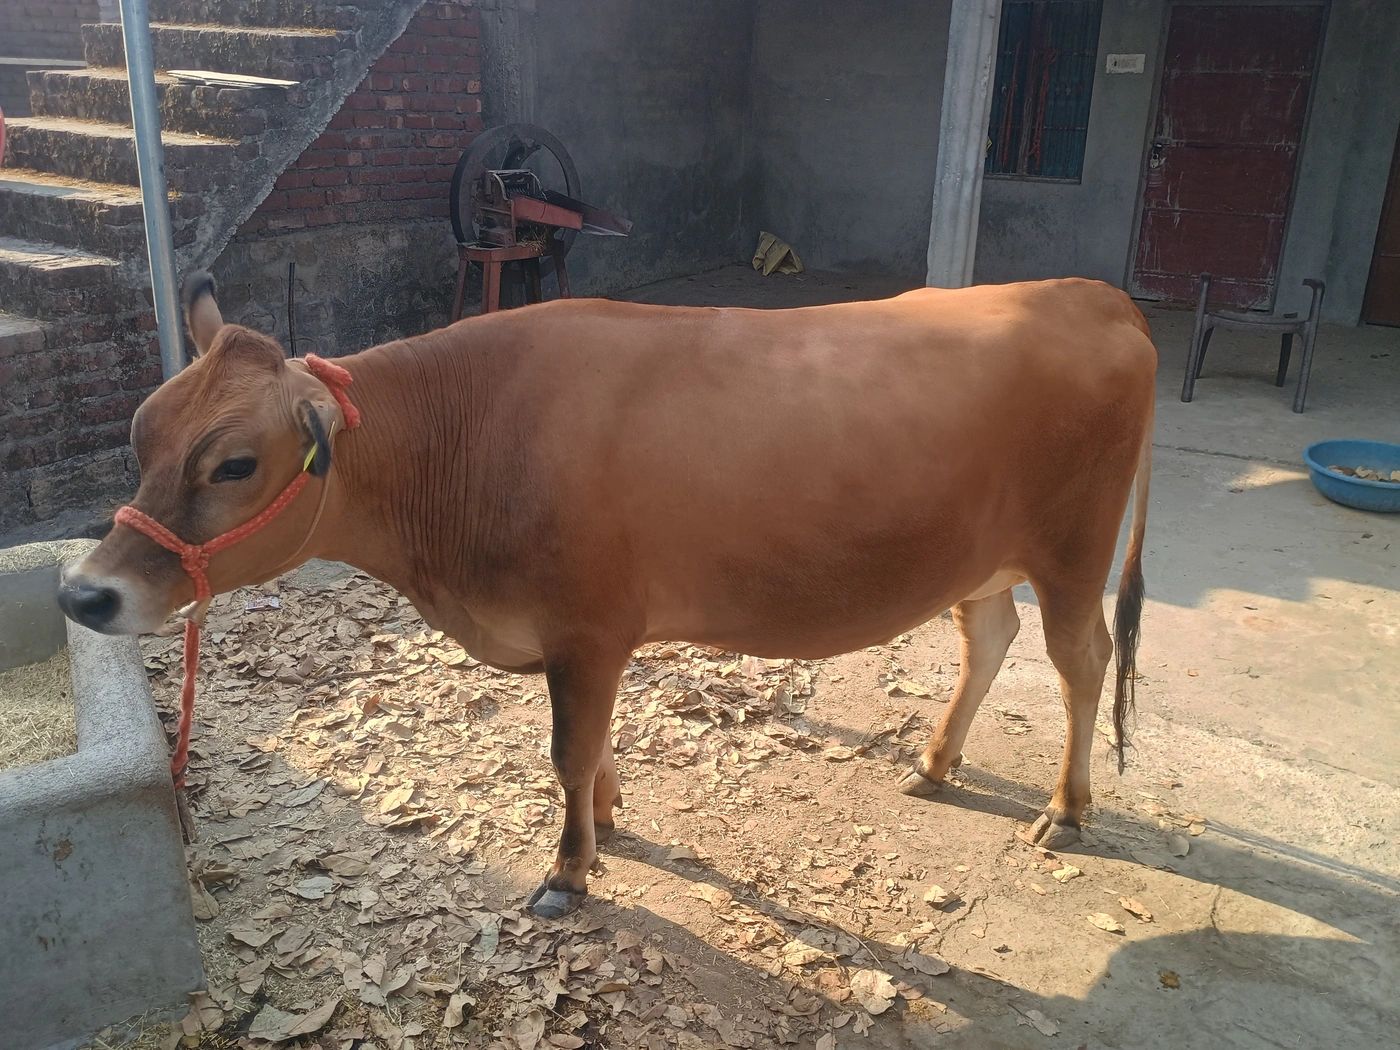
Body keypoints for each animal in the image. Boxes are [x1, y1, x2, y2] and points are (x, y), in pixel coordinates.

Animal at [59, 272, 1155, 918]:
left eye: (235, 463)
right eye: (142, 429)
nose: (84, 594)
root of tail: (1090, 292)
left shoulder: (584, 629)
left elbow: (565, 749)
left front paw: (567, 869)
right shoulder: (592, 636)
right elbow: (595, 742)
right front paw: (612, 817)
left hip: (1071, 551)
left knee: (1081, 661)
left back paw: (1066, 809)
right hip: (982, 556)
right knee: (989, 632)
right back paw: (934, 761)